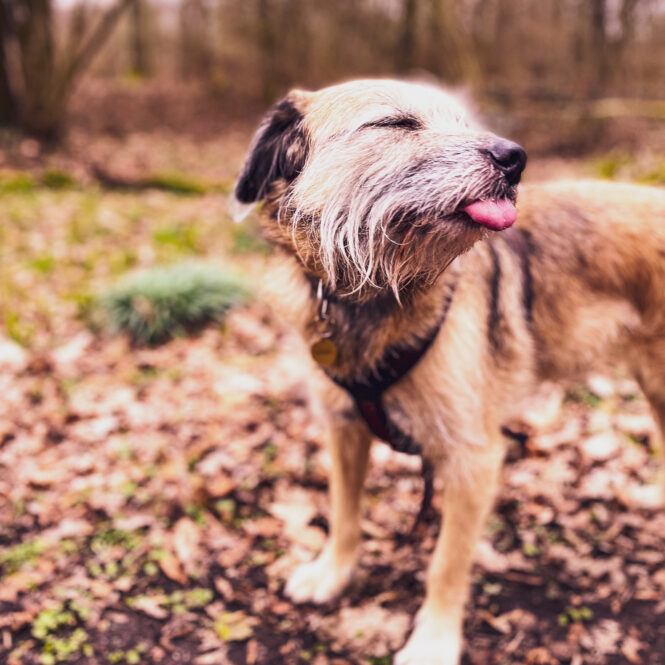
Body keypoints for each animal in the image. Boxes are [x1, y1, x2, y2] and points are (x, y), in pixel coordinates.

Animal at [230, 79, 664, 664]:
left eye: (462, 123)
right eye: (393, 123)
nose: (515, 157)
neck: (378, 293)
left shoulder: (473, 460)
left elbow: (446, 564)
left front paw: (433, 642)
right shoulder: (345, 429)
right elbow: (344, 512)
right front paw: (334, 574)